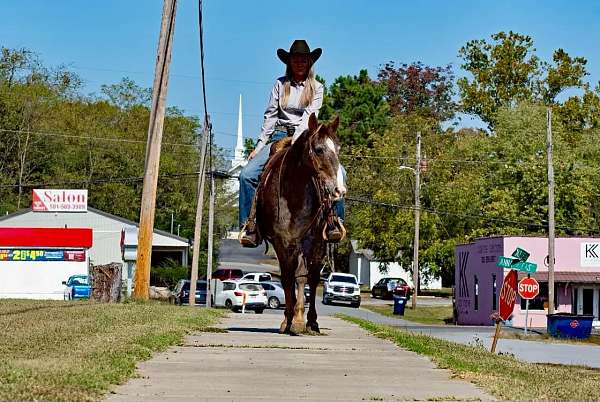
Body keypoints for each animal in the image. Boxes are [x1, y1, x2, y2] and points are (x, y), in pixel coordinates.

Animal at [255, 113, 344, 332]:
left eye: (338, 149)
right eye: (319, 149)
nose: (339, 190)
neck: (294, 193)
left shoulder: (311, 240)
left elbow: (303, 276)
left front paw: (298, 320)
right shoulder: (281, 241)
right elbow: (287, 277)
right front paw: (288, 319)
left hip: (319, 244)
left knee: (312, 276)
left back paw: (311, 321)